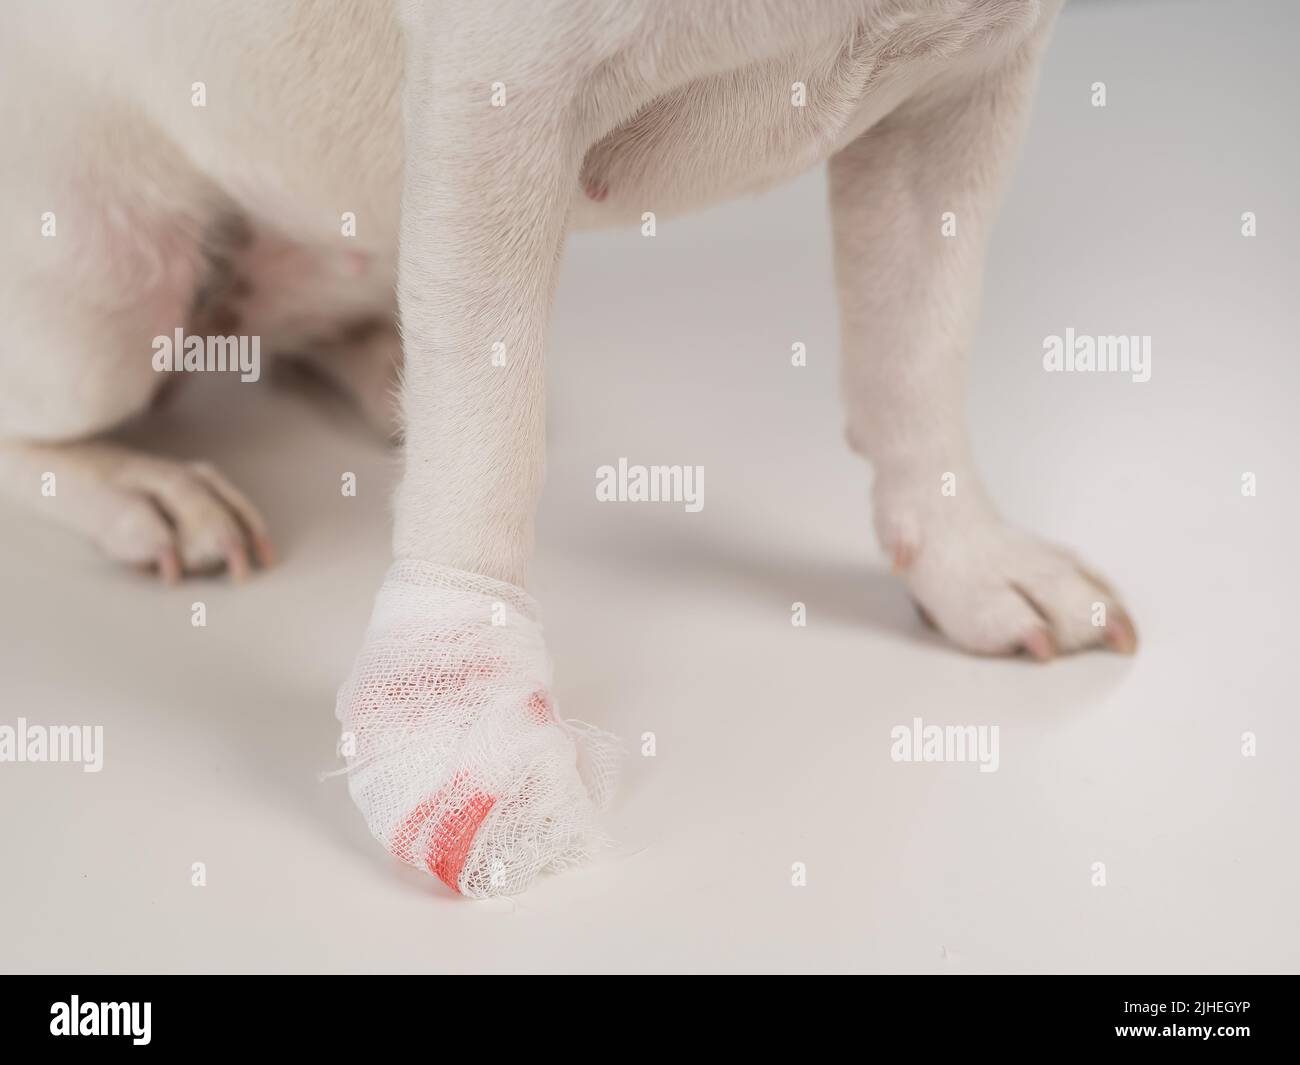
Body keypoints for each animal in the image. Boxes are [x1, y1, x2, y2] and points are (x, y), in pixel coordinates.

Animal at [0, 0, 1133, 899]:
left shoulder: (963, 94)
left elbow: (918, 353)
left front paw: (968, 562)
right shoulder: (499, 104)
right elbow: (487, 444)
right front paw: (464, 737)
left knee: (314, 323)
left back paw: (380, 370)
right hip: (104, 293)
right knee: (39, 419)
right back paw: (145, 490)